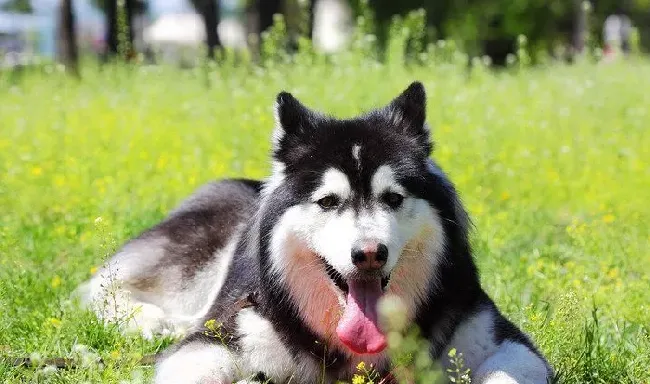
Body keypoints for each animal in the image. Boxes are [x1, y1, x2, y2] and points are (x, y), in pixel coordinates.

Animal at [78, 82, 548, 382]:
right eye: (327, 202)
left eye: (393, 198)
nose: (369, 254)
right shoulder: (221, 336)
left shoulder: (499, 337)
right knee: (105, 286)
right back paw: (150, 320)